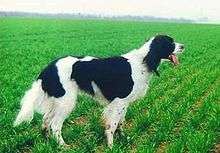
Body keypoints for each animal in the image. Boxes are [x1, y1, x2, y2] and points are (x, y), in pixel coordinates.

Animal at [13, 34, 184, 148]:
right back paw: (63, 146)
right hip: (67, 102)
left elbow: (121, 123)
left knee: (46, 120)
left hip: (58, 100)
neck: (142, 61)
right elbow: (112, 125)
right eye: (169, 42)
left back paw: (48, 142)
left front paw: (124, 139)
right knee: (55, 124)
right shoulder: (119, 102)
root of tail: (48, 68)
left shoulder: (124, 103)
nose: (183, 46)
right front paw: (111, 146)